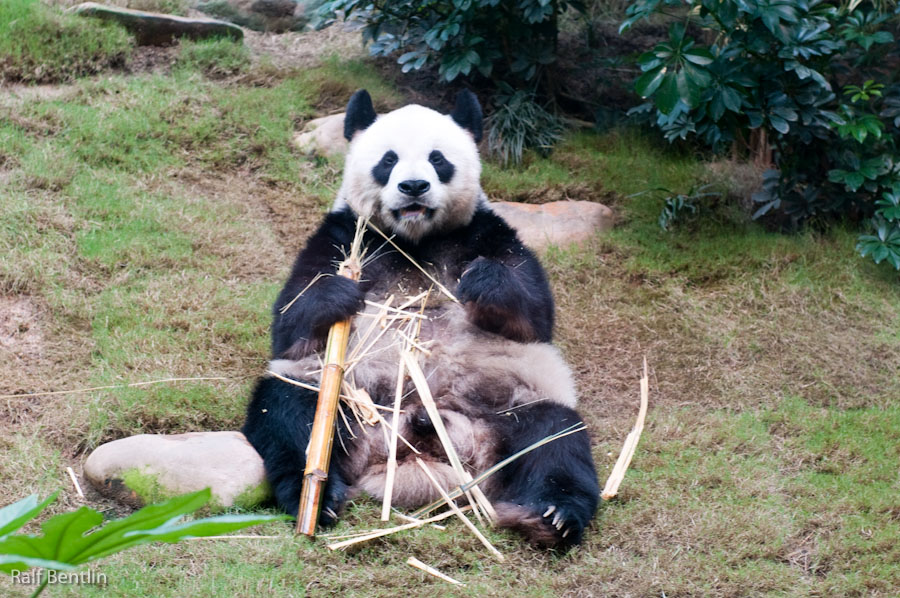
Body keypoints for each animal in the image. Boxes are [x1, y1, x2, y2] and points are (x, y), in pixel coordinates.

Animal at [242, 89, 599, 548]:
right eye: (388, 160)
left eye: (438, 159)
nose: (414, 186)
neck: (416, 241)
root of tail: (412, 453)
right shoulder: (342, 235)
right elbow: (291, 322)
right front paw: (336, 295)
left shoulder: (485, 232)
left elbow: (534, 313)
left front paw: (485, 281)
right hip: (338, 398)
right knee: (289, 415)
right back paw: (318, 497)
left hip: (513, 402)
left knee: (553, 439)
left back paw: (550, 516)